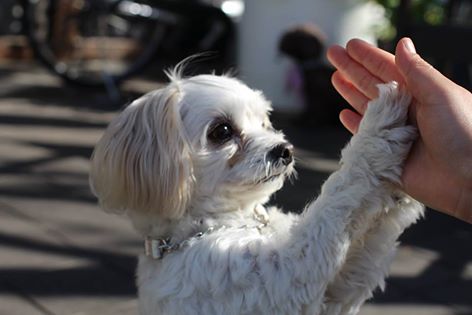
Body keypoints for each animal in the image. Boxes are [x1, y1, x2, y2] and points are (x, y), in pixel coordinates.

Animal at [89, 69, 424, 315]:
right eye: (222, 131)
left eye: (264, 122)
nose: (285, 149)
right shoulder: (283, 279)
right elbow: (337, 200)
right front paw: (379, 131)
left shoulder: (335, 294)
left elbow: (369, 250)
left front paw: (404, 188)